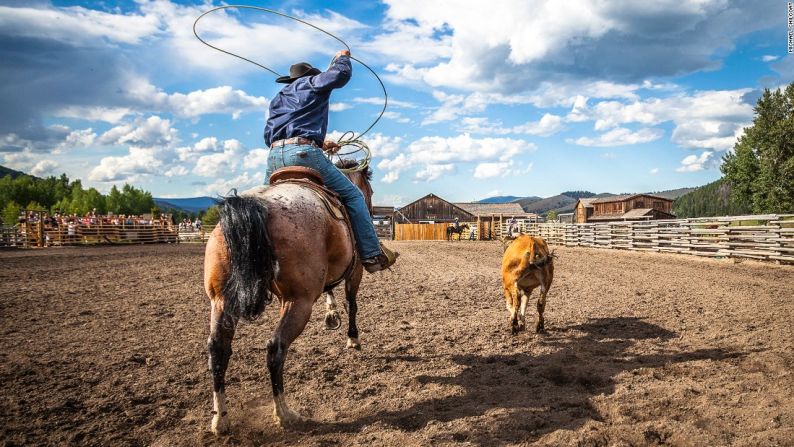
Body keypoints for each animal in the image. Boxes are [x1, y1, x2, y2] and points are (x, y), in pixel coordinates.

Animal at [201, 160, 368, 434]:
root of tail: (256, 205)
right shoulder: (355, 270)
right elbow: (351, 304)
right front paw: (352, 339)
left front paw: (332, 315)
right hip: (298, 301)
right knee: (275, 348)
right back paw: (284, 414)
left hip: (221, 300)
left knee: (218, 349)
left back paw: (220, 419)